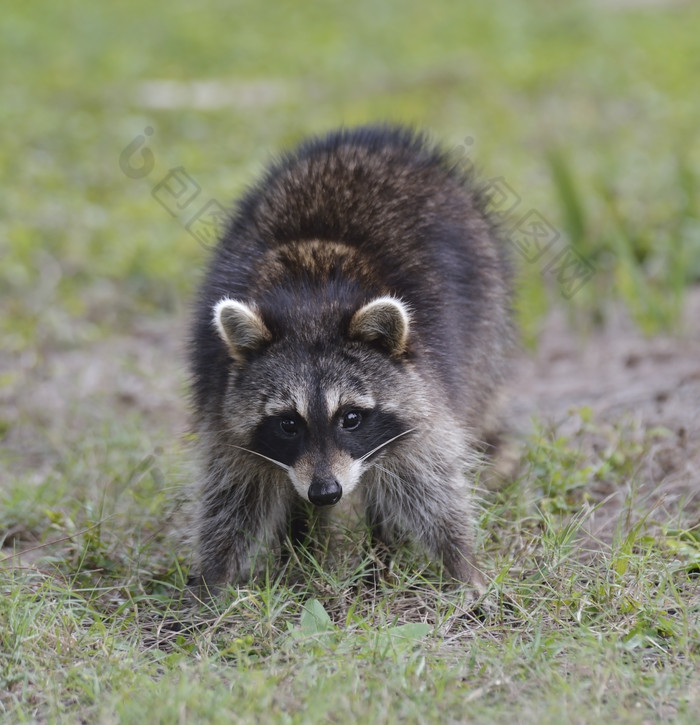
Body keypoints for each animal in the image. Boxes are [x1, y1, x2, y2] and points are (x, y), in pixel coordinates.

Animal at [189, 124, 512, 592]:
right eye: (288, 424)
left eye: (352, 418)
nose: (325, 493)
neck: (310, 302)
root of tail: (376, 138)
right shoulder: (222, 398)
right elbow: (233, 494)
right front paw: (215, 580)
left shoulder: (426, 387)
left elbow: (429, 481)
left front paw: (462, 564)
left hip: (485, 318)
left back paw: (379, 554)